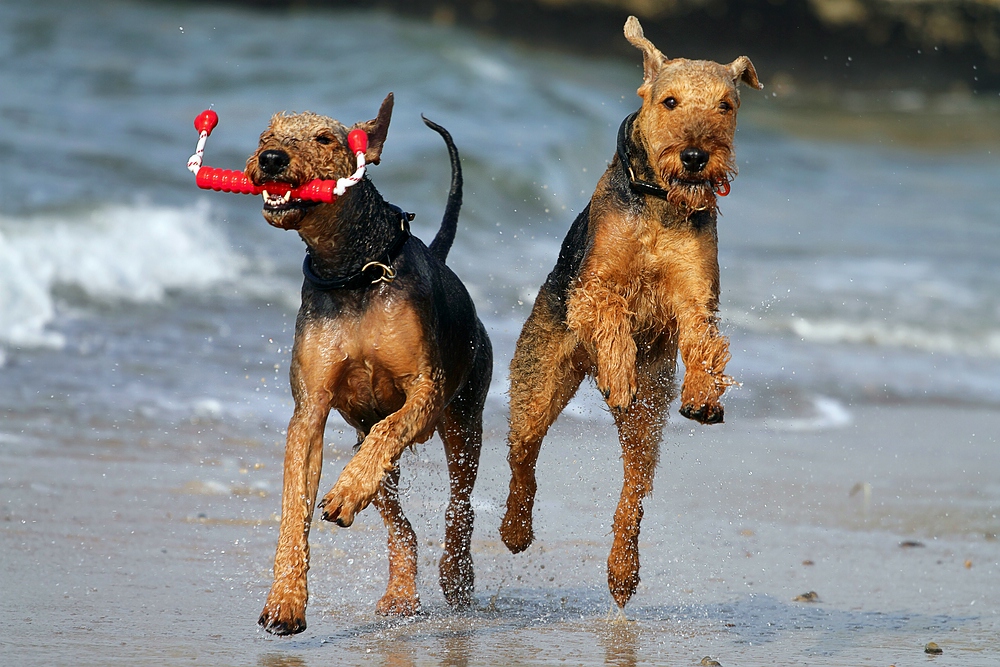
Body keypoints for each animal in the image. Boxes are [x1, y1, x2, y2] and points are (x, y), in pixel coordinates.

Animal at [248, 92, 494, 632]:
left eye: (324, 139)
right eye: (264, 136)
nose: (271, 159)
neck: (352, 269)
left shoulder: (426, 388)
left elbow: (393, 426)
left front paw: (345, 491)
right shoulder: (310, 409)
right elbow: (294, 507)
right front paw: (285, 601)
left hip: (465, 422)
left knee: (458, 506)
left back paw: (455, 575)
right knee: (400, 522)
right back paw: (399, 589)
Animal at [496, 17, 760, 612]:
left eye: (726, 105)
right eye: (669, 100)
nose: (695, 157)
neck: (662, 202)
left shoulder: (695, 298)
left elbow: (705, 342)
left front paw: (704, 395)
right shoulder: (592, 287)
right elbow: (614, 311)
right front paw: (618, 369)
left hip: (648, 418)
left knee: (633, 491)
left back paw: (623, 572)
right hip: (539, 383)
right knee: (524, 456)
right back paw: (515, 531)